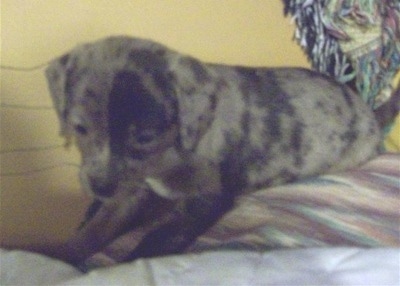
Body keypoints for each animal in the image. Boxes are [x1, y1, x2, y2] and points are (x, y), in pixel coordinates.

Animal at [44, 35, 382, 266]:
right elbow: (98, 227)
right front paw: (62, 255)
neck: (171, 150)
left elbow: (160, 234)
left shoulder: (206, 198)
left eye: (145, 137)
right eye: (80, 128)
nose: (99, 187)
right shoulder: (131, 190)